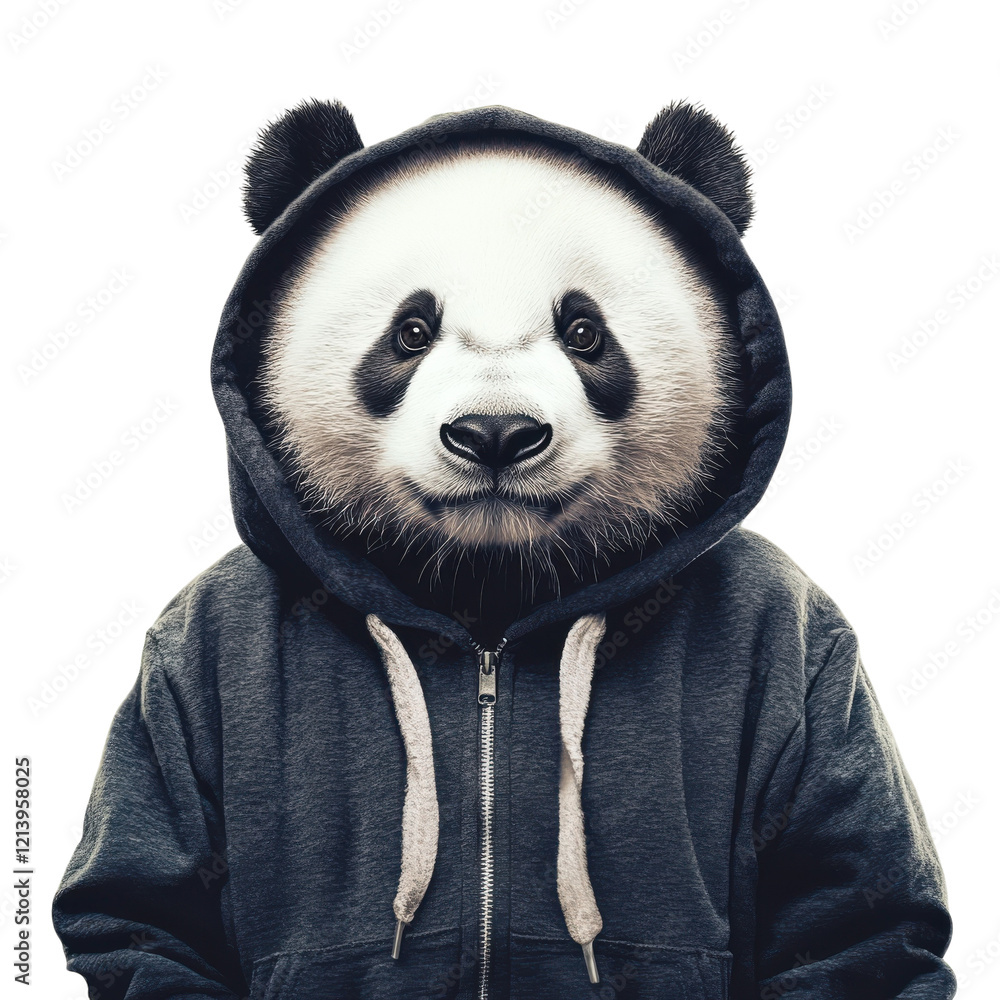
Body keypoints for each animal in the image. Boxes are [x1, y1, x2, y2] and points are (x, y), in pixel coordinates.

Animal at [53, 100, 956, 1000]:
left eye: (585, 331)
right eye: (411, 331)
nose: (494, 434)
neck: (491, 588)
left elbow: (849, 907)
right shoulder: (182, 649)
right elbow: (147, 905)